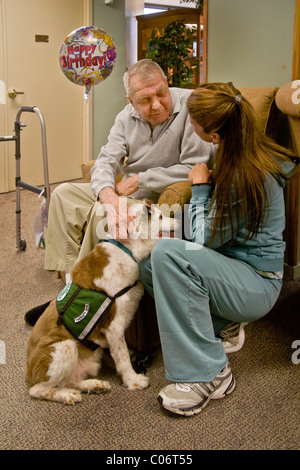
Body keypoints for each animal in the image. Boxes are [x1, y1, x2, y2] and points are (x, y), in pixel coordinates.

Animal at [25, 199, 178, 404]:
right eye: (160, 217)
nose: (179, 221)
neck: (127, 250)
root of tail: (28, 375)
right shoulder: (113, 326)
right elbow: (122, 357)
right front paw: (133, 380)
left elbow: (122, 352)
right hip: (65, 347)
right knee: (40, 389)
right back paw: (67, 395)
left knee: (70, 380)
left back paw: (93, 385)